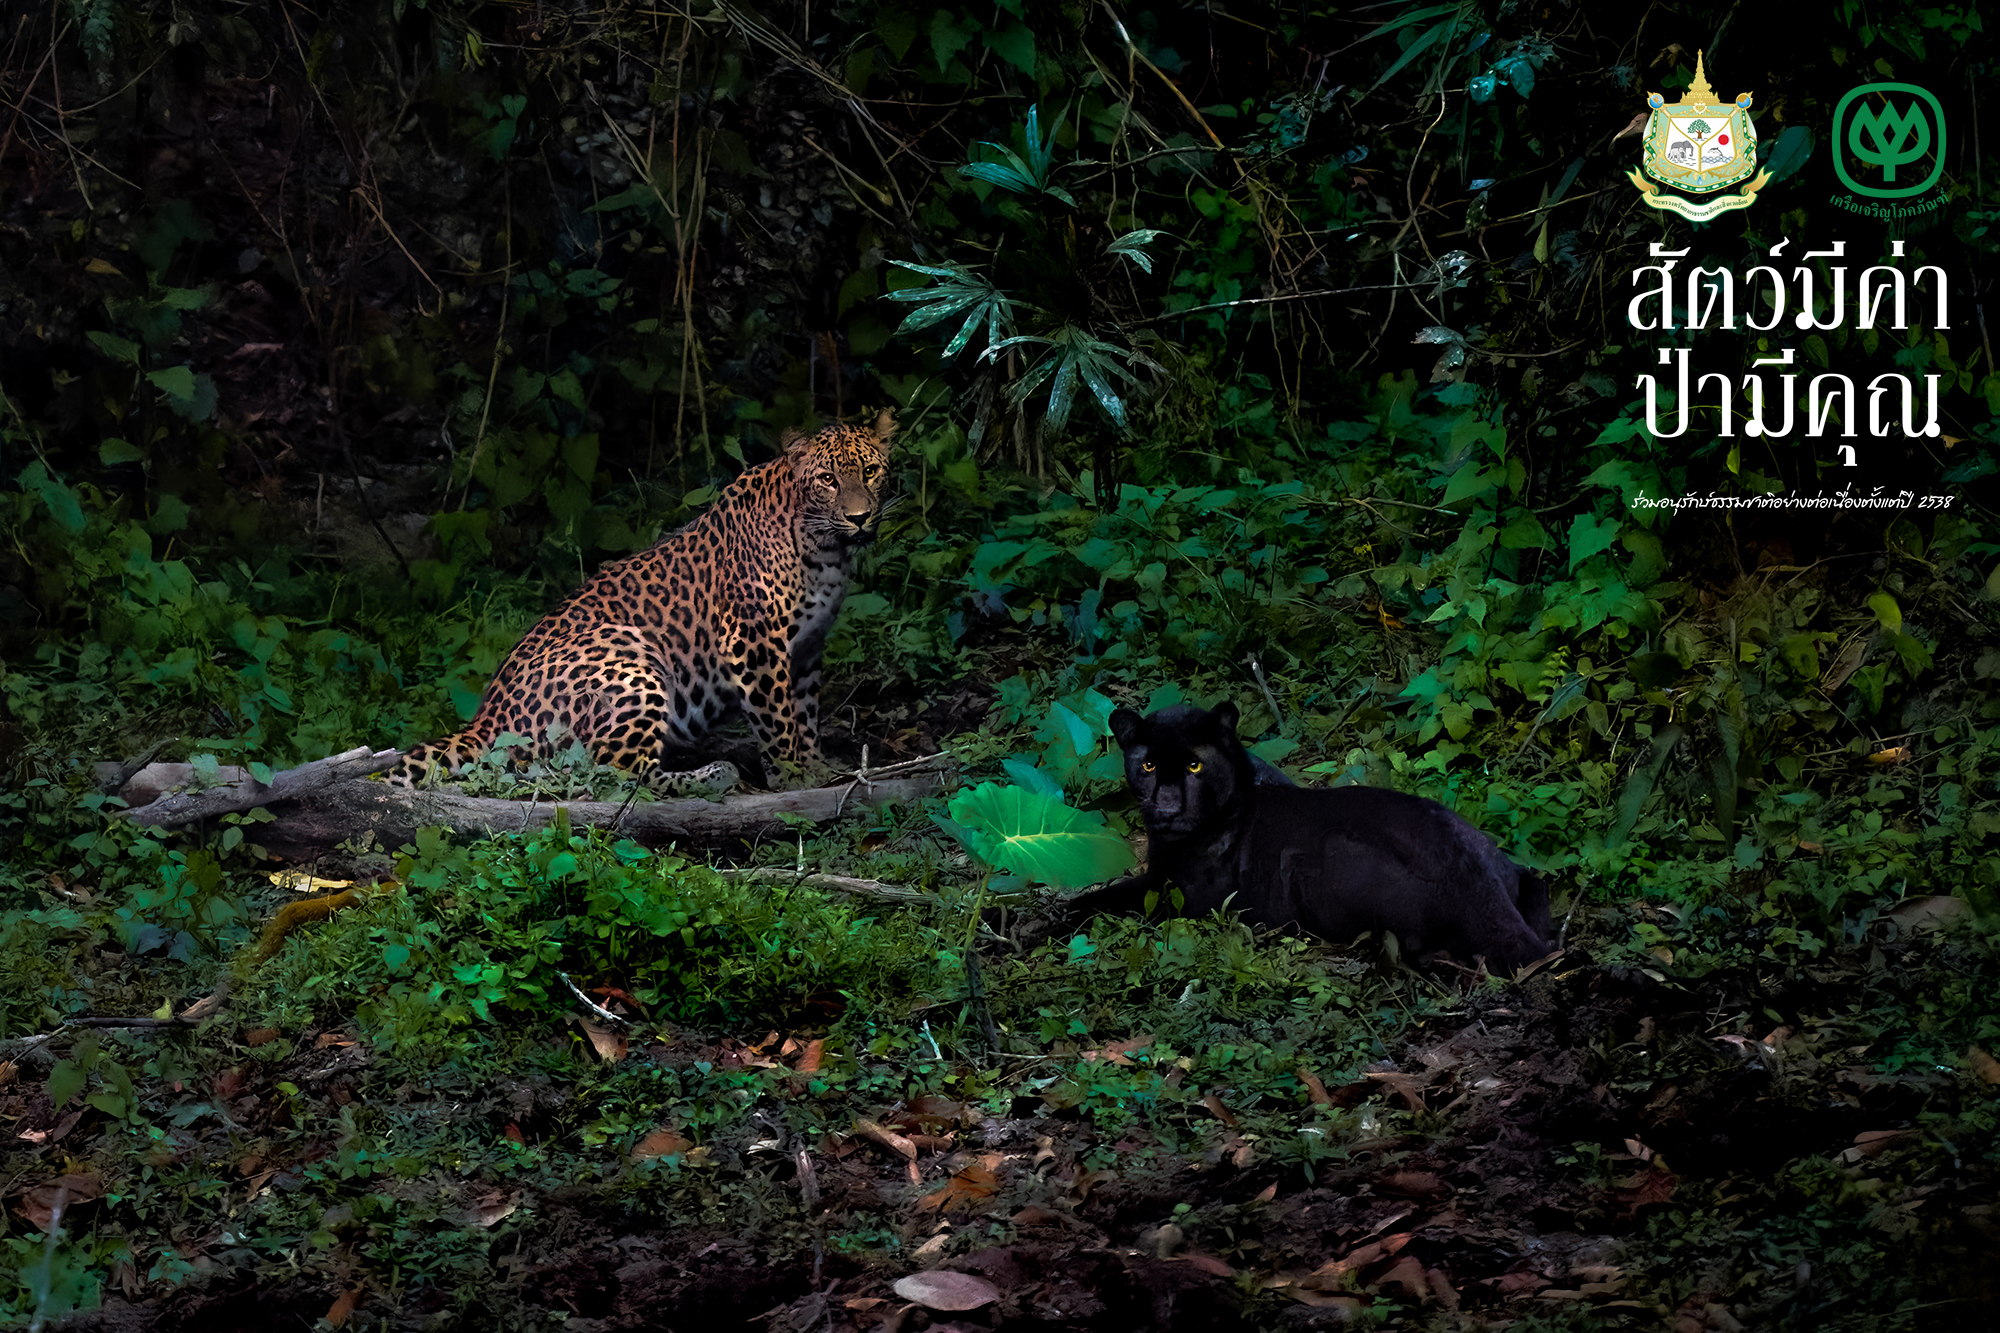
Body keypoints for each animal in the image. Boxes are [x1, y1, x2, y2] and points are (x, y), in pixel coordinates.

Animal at [384, 410, 900, 792]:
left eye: (871, 472)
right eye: (828, 479)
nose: (860, 518)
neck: (826, 551)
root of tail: (486, 720)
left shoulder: (807, 648)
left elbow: (805, 714)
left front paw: (816, 768)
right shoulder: (753, 641)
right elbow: (778, 720)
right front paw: (794, 777)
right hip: (630, 661)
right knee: (614, 773)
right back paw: (714, 776)